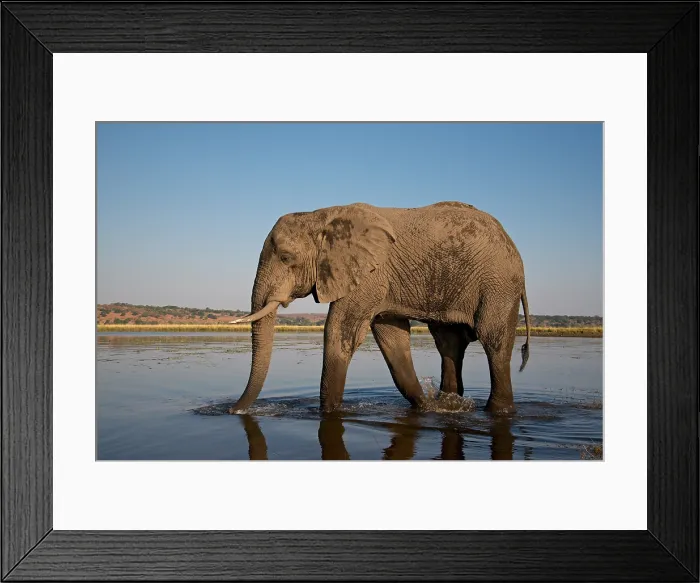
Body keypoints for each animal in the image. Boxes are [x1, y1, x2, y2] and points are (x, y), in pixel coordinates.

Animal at [228, 201, 531, 415]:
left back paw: (498, 411)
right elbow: (392, 339)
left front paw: (328, 412)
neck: (322, 216)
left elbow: (339, 332)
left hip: (499, 283)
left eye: (286, 257)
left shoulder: (369, 275)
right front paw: (426, 407)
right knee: (449, 342)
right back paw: (449, 405)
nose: (233, 410)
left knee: (494, 339)